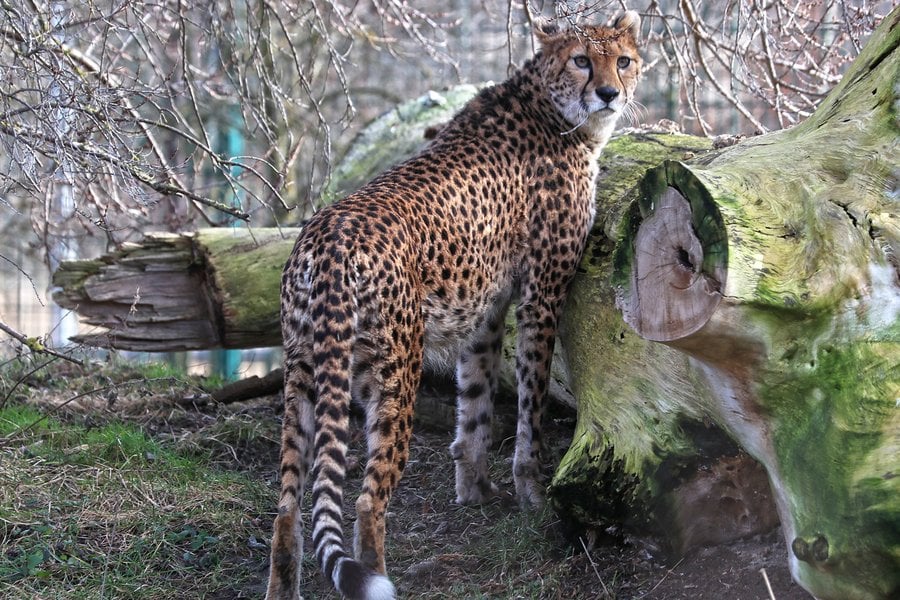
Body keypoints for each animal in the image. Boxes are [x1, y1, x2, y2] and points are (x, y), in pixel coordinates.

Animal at [268, 10, 640, 600]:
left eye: (623, 60)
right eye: (582, 60)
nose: (609, 92)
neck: (550, 105)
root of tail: (327, 236)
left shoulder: (485, 309)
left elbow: (476, 398)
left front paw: (473, 486)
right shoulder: (541, 295)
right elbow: (531, 402)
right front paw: (531, 493)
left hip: (304, 368)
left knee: (285, 505)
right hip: (395, 371)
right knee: (368, 499)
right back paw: (376, 572)